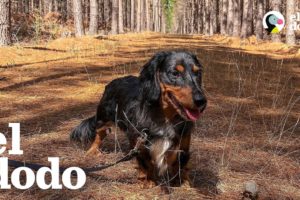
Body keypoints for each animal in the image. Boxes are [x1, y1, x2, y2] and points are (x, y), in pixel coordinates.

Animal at [70, 51, 206, 186]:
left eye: (197, 72)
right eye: (174, 73)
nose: (201, 101)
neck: (165, 117)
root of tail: (112, 83)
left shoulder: (183, 143)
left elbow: (181, 164)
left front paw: (183, 182)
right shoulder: (139, 141)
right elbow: (146, 163)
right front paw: (148, 181)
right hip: (103, 118)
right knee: (98, 135)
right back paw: (92, 151)